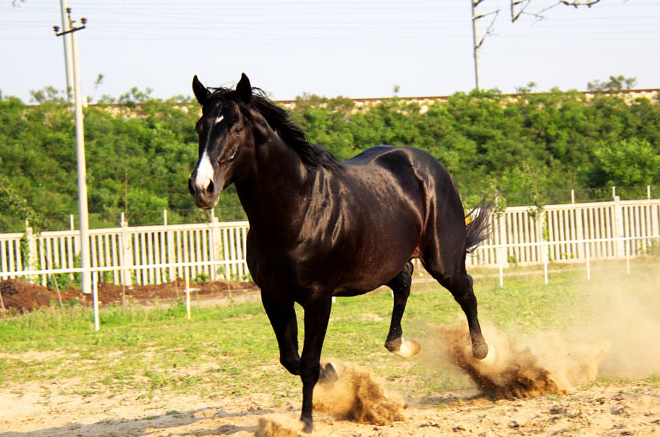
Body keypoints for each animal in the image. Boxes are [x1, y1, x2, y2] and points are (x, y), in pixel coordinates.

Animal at [188, 73, 492, 430]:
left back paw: (483, 354)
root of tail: (428, 164)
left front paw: (306, 422)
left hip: (442, 260)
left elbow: (307, 362)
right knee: (404, 282)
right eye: (200, 127)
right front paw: (330, 375)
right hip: (383, 263)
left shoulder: (318, 298)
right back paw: (402, 346)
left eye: (236, 128)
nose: (202, 188)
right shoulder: (274, 296)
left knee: (465, 291)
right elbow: (291, 359)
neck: (299, 209)